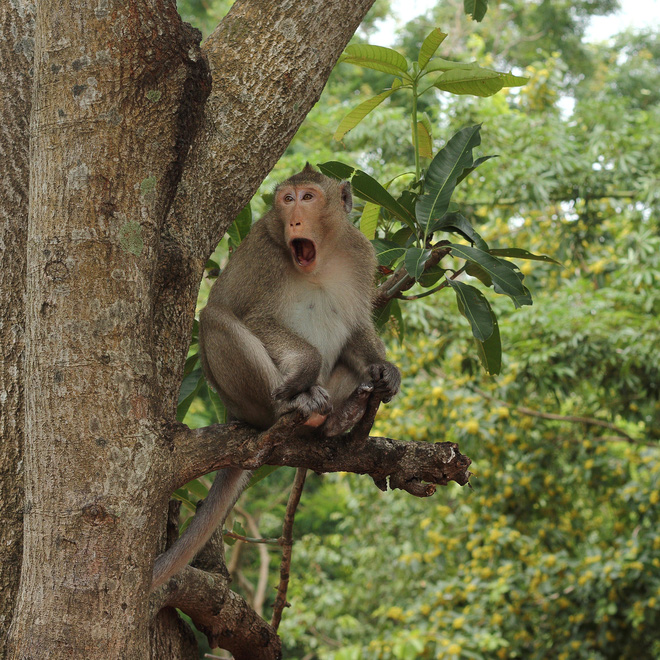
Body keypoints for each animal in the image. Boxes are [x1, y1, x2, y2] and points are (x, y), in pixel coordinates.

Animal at [152, 164, 400, 588]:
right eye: (287, 199)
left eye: (308, 197)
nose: (295, 219)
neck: (321, 258)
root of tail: (232, 414)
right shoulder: (265, 257)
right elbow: (255, 318)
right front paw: (305, 369)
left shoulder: (362, 254)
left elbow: (356, 328)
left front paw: (385, 370)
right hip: (247, 401)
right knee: (215, 320)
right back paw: (294, 405)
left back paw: (339, 418)